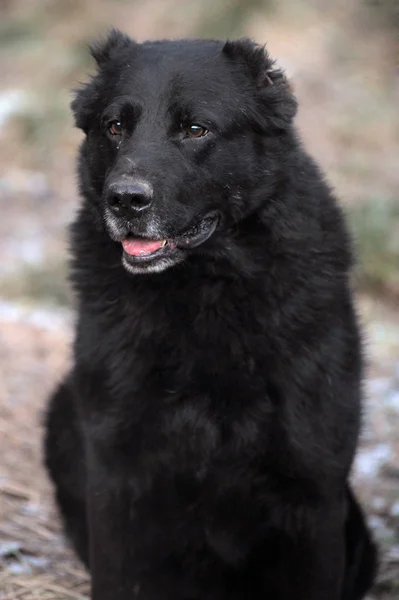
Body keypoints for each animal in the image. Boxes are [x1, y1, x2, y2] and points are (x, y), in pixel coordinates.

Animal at [44, 30, 378, 596]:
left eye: (195, 129)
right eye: (115, 127)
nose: (124, 200)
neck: (203, 292)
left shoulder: (312, 489)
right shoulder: (117, 478)